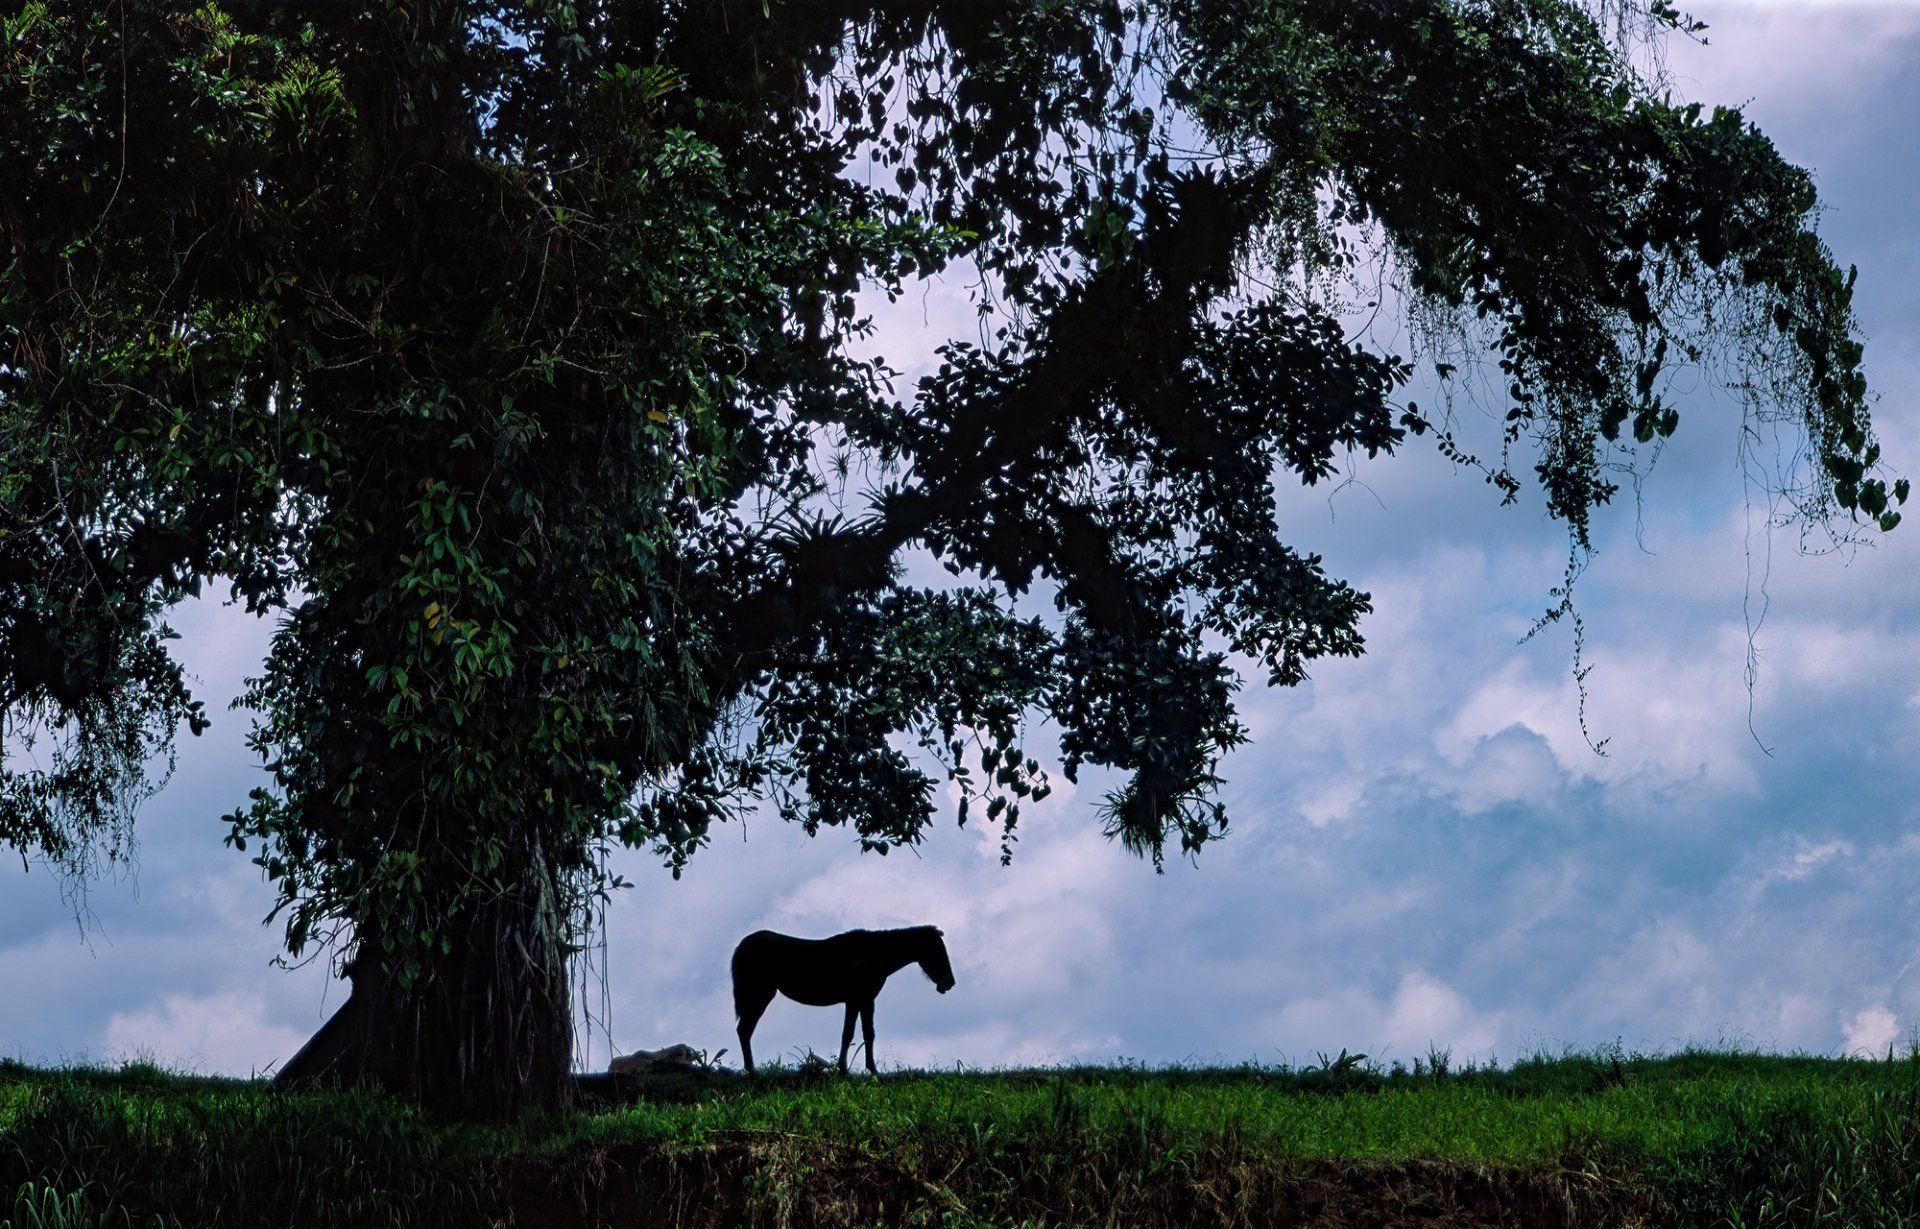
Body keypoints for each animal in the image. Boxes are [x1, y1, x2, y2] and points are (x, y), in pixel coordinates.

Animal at [725, 921, 952, 1075]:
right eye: (937, 951)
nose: (949, 983)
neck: (871, 955)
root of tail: (742, 946)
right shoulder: (856, 1000)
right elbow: (851, 1034)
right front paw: (849, 1070)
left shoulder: (863, 1000)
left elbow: (865, 1034)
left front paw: (867, 1070)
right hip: (759, 996)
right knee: (745, 1030)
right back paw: (752, 1071)